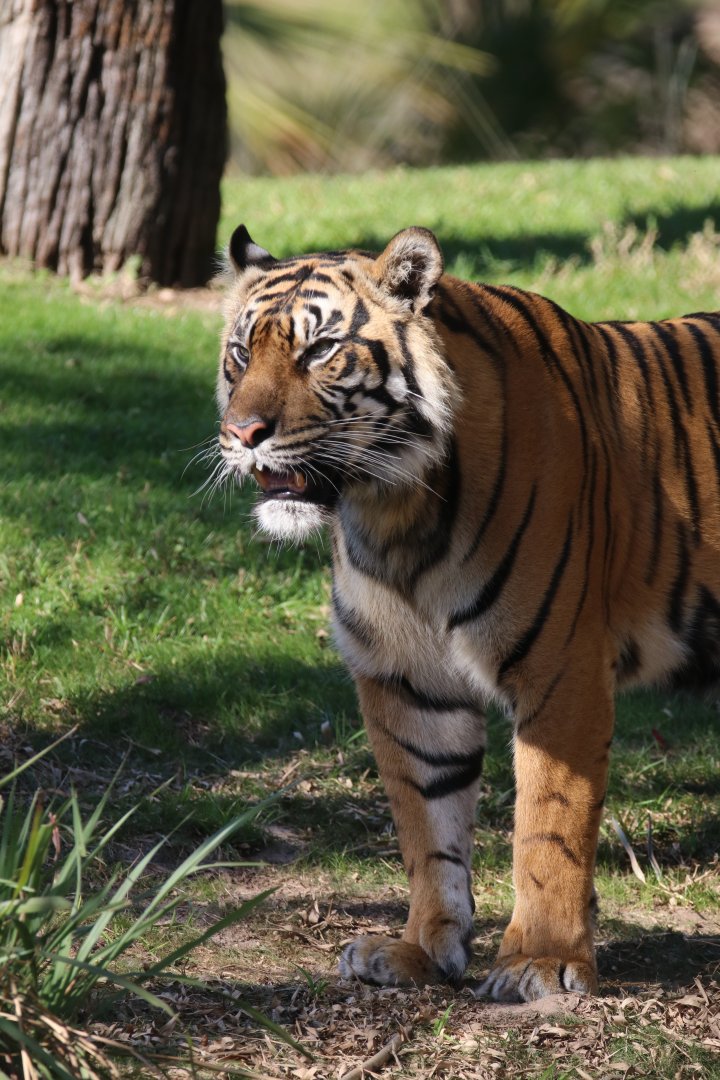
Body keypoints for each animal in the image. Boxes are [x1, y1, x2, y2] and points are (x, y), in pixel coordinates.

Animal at [216, 223, 720, 1002]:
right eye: (241, 353)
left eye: (320, 350)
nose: (242, 434)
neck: (393, 511)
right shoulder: (408, 679)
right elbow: (428, 826)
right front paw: (422, 949)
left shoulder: (561, 671)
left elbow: (548, 825)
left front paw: (540, 962)